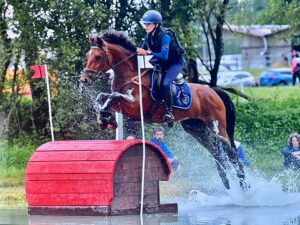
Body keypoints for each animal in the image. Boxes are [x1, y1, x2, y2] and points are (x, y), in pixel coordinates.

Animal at [79, 29, 246, 190]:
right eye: (88, 55)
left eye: (98, 57)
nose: (84, 79)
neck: (131, 74)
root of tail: (213, 91)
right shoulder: (123, 105)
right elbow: (102, 96)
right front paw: (105, 119)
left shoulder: (134, 105)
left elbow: (113, 96)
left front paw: (105, 118)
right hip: (196, 129)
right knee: (216, 152)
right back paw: (227, 183)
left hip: (218, 129)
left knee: (232, 155)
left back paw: (244, 187)